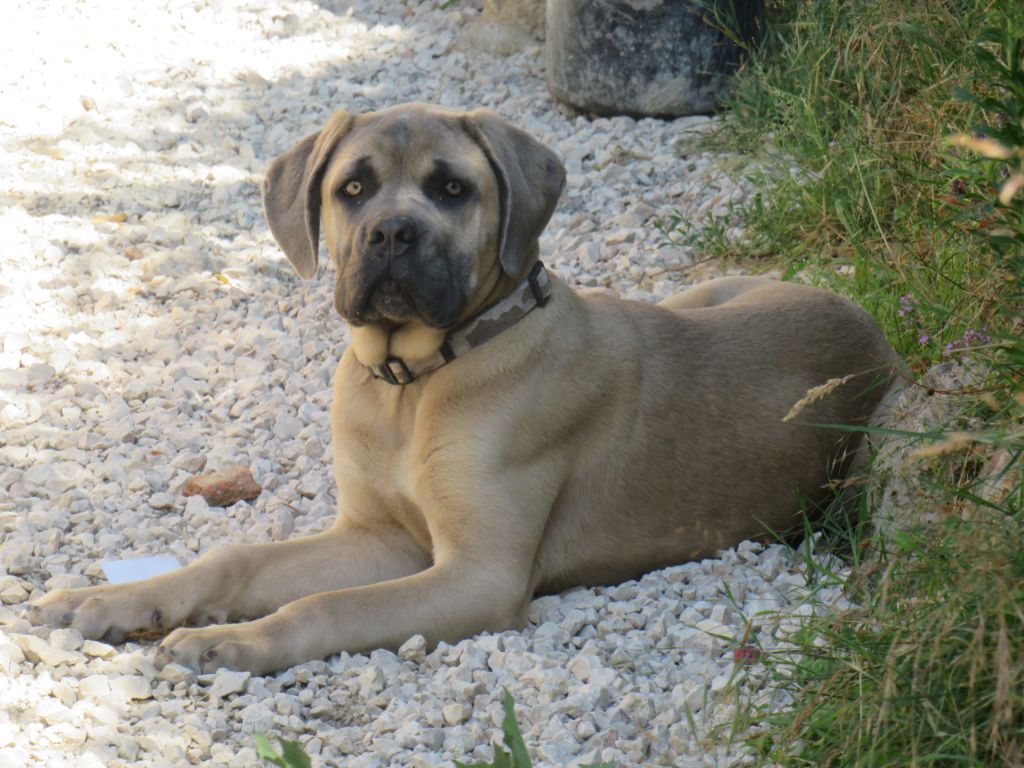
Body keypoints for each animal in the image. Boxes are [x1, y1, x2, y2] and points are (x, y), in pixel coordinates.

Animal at [29, 103, 897, 671]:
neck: (413, 383)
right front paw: (116, 601)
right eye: (352, 188)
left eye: (452, 189)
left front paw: (232, 640)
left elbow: (327, 607)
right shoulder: (380, 535)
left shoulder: (478, 573)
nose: (392, 234)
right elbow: (234, 560)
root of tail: (870, 324)